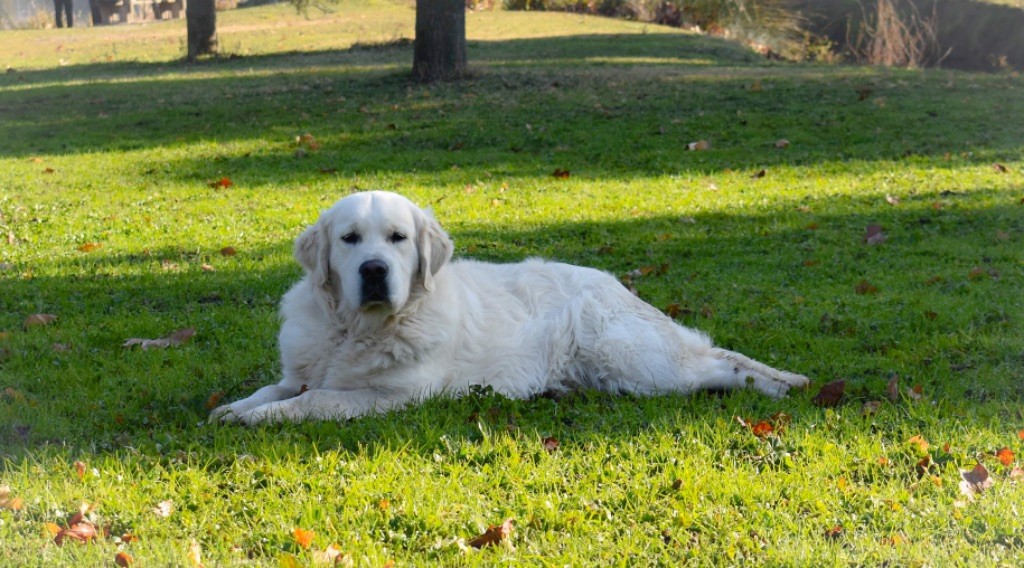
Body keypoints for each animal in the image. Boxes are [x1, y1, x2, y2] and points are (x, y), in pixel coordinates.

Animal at [211, 193, 811, 423]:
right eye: (350, 239)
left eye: (398, 238)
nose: (374, 270)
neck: (356, 329)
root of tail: (618, 287)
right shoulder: (300, 372)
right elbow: (276, 389)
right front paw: (236, 407)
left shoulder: (391, 395)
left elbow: (313, 401)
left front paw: (255, 418)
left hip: (634, 362)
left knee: (718, 364)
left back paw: (776, 386)